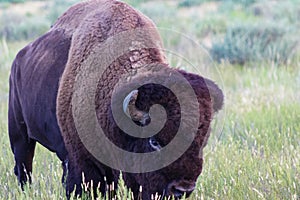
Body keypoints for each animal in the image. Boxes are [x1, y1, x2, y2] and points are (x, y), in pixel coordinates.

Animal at [8, 0, 224, 199]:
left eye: (202, 140)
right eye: (154, 141)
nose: (182, 189)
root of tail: (18, 59)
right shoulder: (83, 162)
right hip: (19, 134)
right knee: (23, 168)